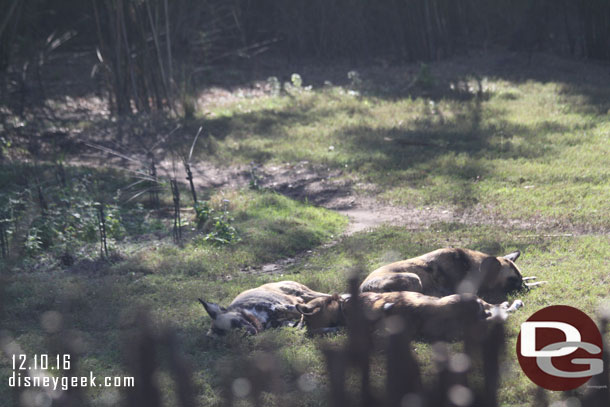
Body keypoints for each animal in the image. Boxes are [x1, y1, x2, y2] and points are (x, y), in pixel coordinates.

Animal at [198, 282, 328, 336]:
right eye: (231, 335)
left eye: (235, 322)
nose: (249, 333)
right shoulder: (283, 322)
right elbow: (297, 324)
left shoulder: (283, 306)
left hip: (304, 294)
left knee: (326, 295)